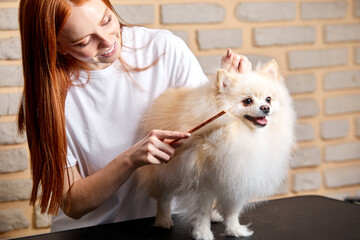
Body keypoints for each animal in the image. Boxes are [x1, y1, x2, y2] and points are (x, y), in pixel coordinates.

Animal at [136, 58, 294, 240]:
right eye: (247, 101)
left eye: (268, 99)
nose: (265, 108)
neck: (240, 133)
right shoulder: (203, 183)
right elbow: (201, 212)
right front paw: (203, 233)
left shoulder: (236, 178)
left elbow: (232, 211)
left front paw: (234, 229)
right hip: (165, 171)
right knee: (164, 197)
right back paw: (163, 220)